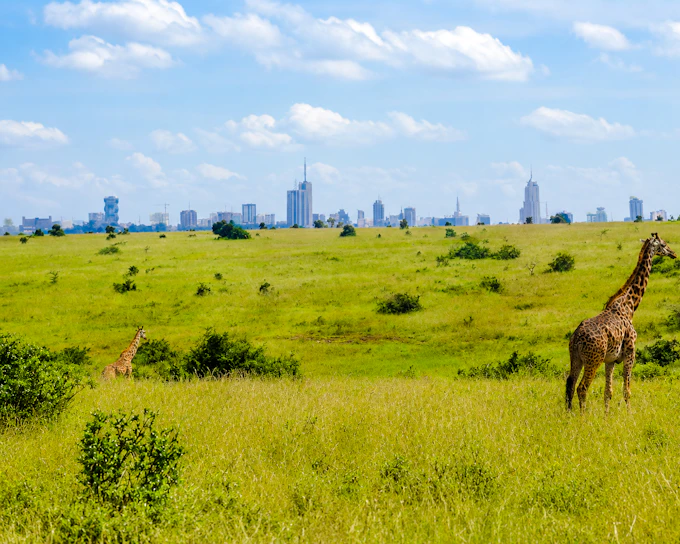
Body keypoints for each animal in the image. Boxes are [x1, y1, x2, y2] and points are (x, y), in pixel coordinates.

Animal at [566, 233, 676, 414]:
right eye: (664, 244)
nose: (673, 253)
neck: (630, 306)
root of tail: (576, 337)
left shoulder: (610, 360)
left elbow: (608, 392)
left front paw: (606, 415)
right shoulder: (630, 352)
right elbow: (627, 390)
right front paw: (630, 414)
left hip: (576, 357)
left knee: (570, 384)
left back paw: (569, 414)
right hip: (593, 359)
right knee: (582, 387)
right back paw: (583, 416)